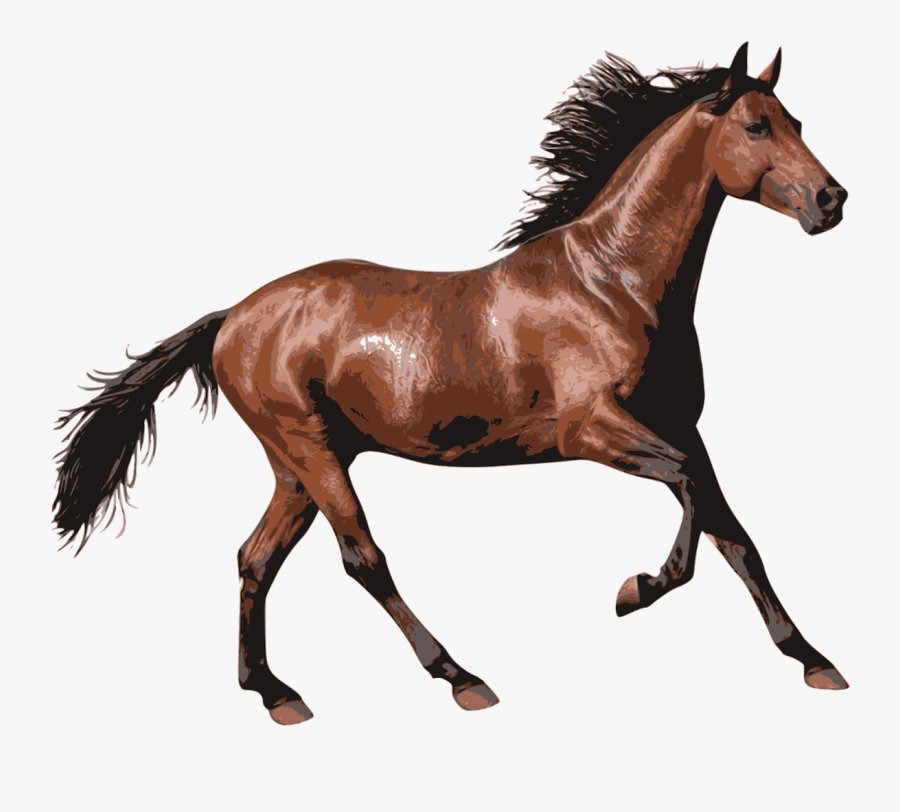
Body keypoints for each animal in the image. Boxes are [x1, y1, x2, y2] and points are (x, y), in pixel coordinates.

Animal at [54, 43, 850, 725]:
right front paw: (635, 591)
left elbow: (734, 532)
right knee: (362, 558)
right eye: (755, 125)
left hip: (297, 465)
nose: (831, 199)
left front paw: (814, 661)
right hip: (311, 451)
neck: (613, 284)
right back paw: (461, 677)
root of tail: (231, 318)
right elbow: (688, 494)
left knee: (256, 558)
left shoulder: (682, 426)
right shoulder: (594, 430)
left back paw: (275, 693)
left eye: (798, 122)